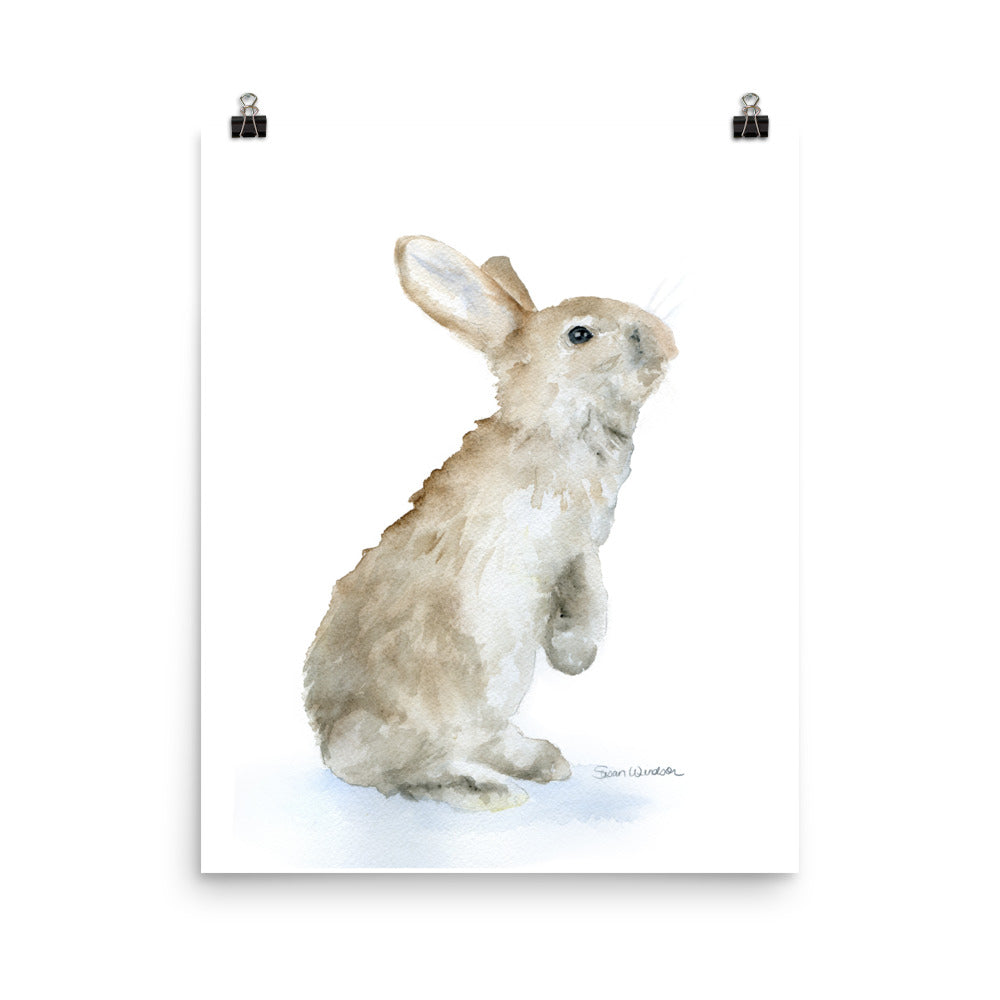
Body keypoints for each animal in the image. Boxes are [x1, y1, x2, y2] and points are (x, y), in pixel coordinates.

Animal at [303, 236, 678, 811]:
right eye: (580, 334)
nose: (664, 340)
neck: (554, 423)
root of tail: (329, 738)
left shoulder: (581, 546)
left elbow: (589, 590)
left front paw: (573, 656)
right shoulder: (567, 540)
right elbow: (591, 598)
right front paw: (577, 656)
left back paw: (542, 761)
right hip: (440, 702)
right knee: (394, 771)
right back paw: (485, 791)